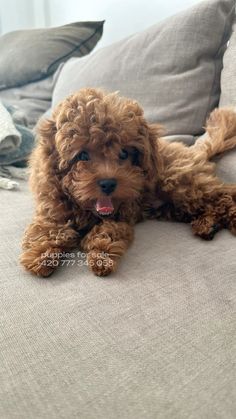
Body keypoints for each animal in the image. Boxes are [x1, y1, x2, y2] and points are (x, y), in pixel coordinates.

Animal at [19, 88, 236, 278]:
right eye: (82, 155)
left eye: (124, 153)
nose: (108, 183)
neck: (86, 208)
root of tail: (194, 151)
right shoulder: (51, 209)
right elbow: (46, 229)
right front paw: (39, 256)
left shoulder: (123, 213)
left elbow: (107, 229)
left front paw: (101, 255)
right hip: (171, 205)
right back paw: (206, 225)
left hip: (182, 185)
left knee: (224, 195)